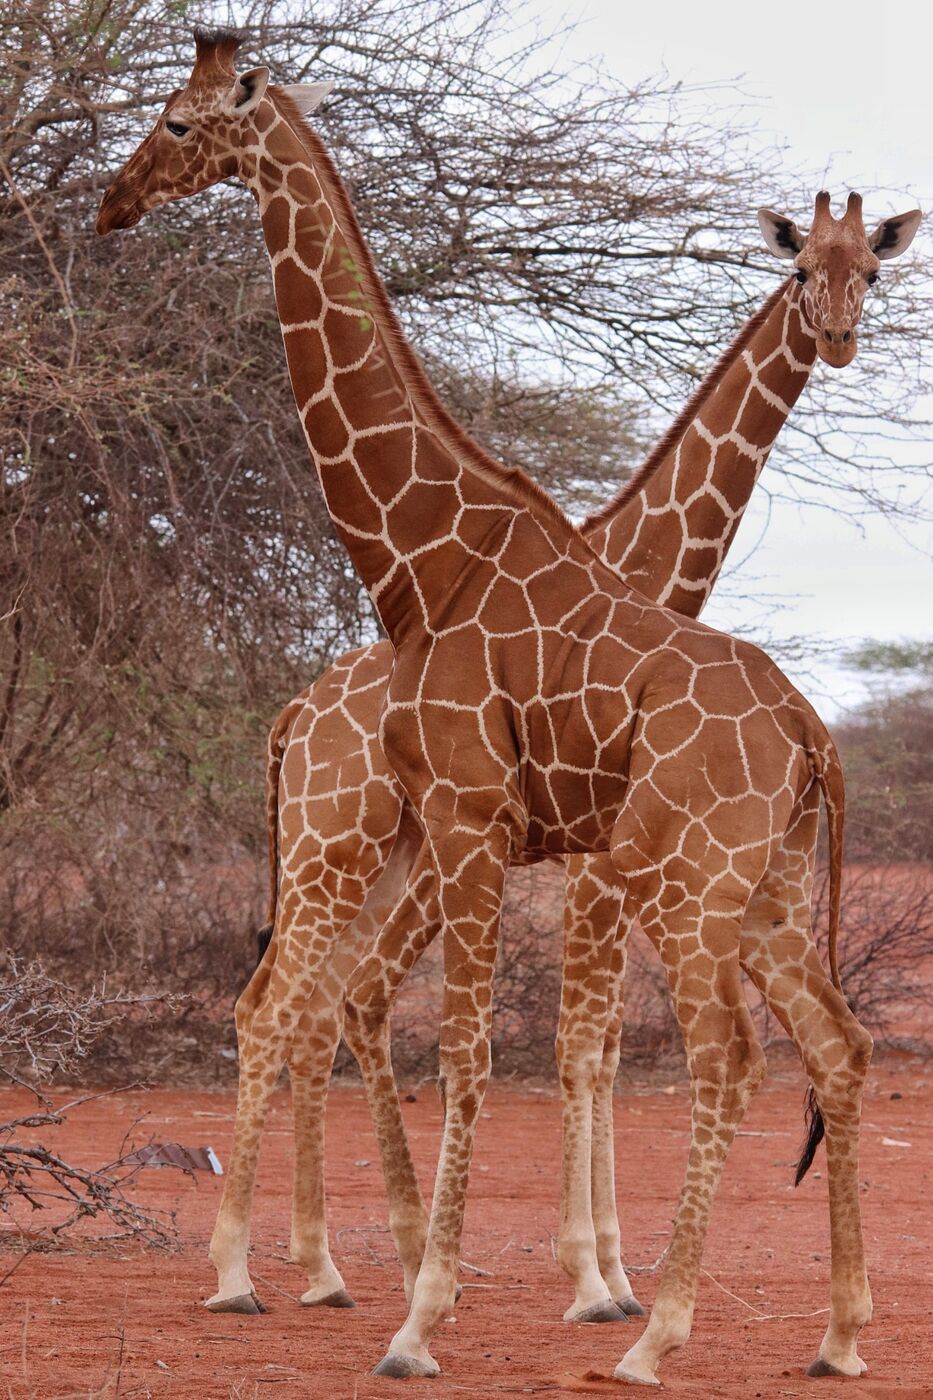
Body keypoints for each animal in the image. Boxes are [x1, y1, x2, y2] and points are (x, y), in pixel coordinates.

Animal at [248, 190, 919, 1334]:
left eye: (870, 273)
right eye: (800, 272)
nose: (836, 337)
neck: (649, 562)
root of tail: (296, 712)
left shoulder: (598, 856)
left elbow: (596, 1042)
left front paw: (613, 1271)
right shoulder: (601, 862)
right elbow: (583, 1041)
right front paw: (597, 1280)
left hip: (374, 858)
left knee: (325, 1001)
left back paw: (336, 1261)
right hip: (343, 843)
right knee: (308, 1002)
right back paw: (318, 1264)